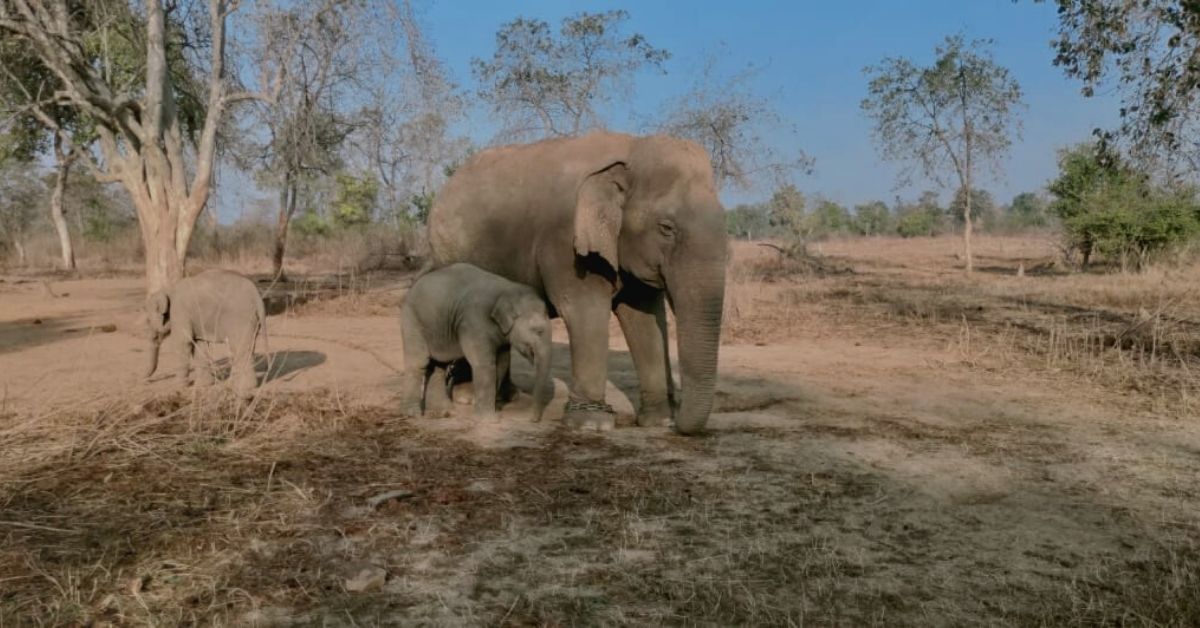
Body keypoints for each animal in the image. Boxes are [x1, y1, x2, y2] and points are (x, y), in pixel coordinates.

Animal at [403, 262, 552, 420]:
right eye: (538, 331)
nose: (533, 419)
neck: (509, 289)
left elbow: (502, 362)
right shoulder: (474, 322)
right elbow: (483, 363)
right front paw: (490, 420)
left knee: (438, 366)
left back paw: (444, 412)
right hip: (412, 321)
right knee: (418, 362)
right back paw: (412, 414)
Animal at [432, 131, 729, 437]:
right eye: (666, 228)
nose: (678, 421)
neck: (632, 147)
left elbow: (644, 318)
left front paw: (659, 421)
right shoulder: (565, 242)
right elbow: (584, 311)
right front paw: (591, 424)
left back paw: (506, 396)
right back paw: (467, 397)